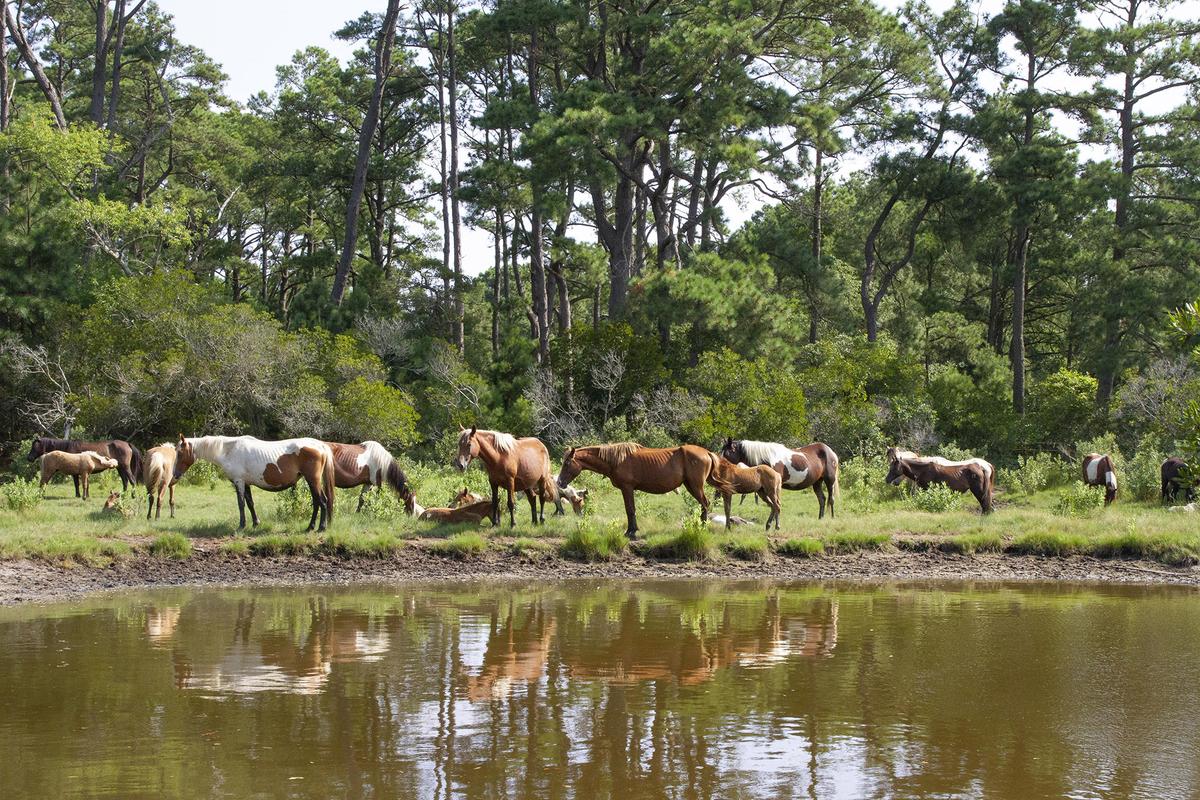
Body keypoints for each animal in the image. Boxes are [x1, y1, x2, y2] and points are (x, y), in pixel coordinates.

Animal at [180, 434, 335, 531]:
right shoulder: (246, 483)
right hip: (312, 481)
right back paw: (310, 527)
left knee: (322, 501)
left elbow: (241, 504)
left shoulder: (239, 481)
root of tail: (320, 445)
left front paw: (241, 525)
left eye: (180, 453)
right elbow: (250, 503)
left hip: (313, 480)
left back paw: (320, 528)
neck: (229, 450)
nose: (176, 474)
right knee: (317, 502)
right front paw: (256, 523)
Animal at [556, 443, 719, 538]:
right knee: (704, 504)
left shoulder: (627, 488)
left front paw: (631, 532)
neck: (616, 460)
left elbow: (630, 509)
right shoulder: (627, 489)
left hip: (695, 486)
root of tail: (707, 453)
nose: (559, 483)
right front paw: (631, 530)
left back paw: (702, 528)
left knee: (705, 504)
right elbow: (630, 509)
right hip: (691, 486)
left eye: (567, 463)